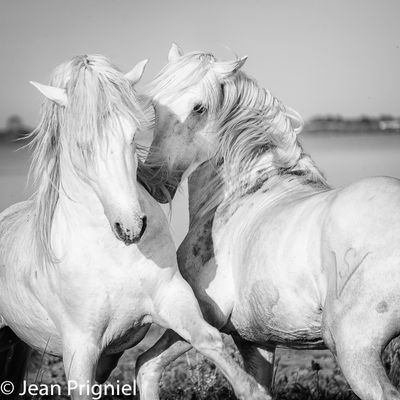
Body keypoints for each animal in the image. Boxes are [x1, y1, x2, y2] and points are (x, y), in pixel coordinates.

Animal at [0, 54, 268, 400]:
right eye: (82, 145)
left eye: (131, 136)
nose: (131, 228)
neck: (113, 254)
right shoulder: (80, 349)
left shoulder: (173, 299)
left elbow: (209, 340)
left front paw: (254, 391)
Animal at [136, 45, 400, 400]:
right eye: (155, 105)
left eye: (198, 107)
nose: (153, 180)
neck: (242, 191)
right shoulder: (256, 341)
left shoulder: (204, 316)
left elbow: (147, 365)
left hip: (354, 349)